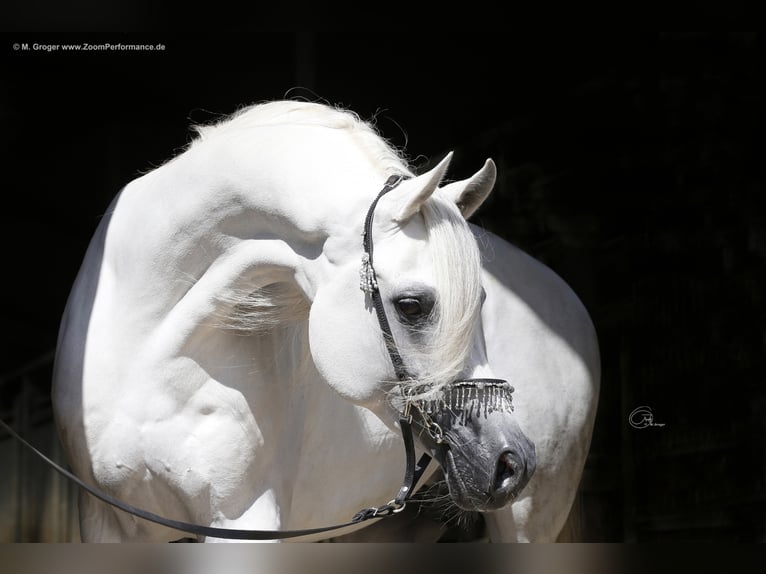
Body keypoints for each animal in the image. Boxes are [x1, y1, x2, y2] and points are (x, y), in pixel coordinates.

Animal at [52, 101, 600, 548]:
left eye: (482, 301)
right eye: (411, 305)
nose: (512, 462)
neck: (150, 347)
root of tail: (569, 302)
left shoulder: (240, 523)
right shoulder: (104, 524)